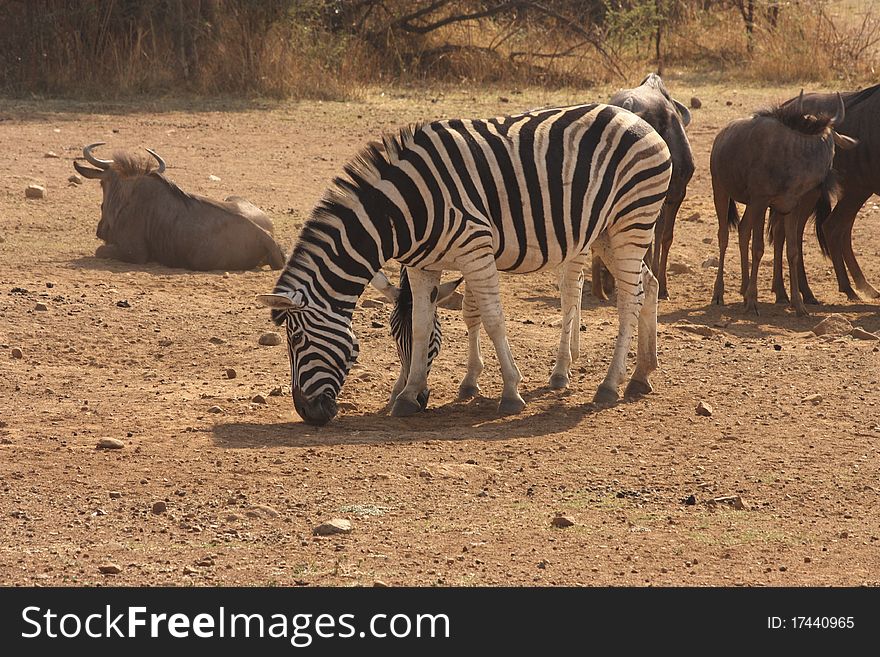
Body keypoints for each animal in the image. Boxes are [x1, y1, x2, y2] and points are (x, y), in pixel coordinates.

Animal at [258, 100, 672, 422]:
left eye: (296, 338)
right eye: (391, 336)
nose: (307, 413)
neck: (402, 210)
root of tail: (635, 117)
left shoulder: (476, 249)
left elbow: (491, 318)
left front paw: (510, 390)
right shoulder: (422, 266)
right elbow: (423, 323)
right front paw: (408, 396)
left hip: (630, 222)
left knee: (627, 300)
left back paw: (609, 384)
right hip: (606, 233)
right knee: (647, 285)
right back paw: (641, 374)